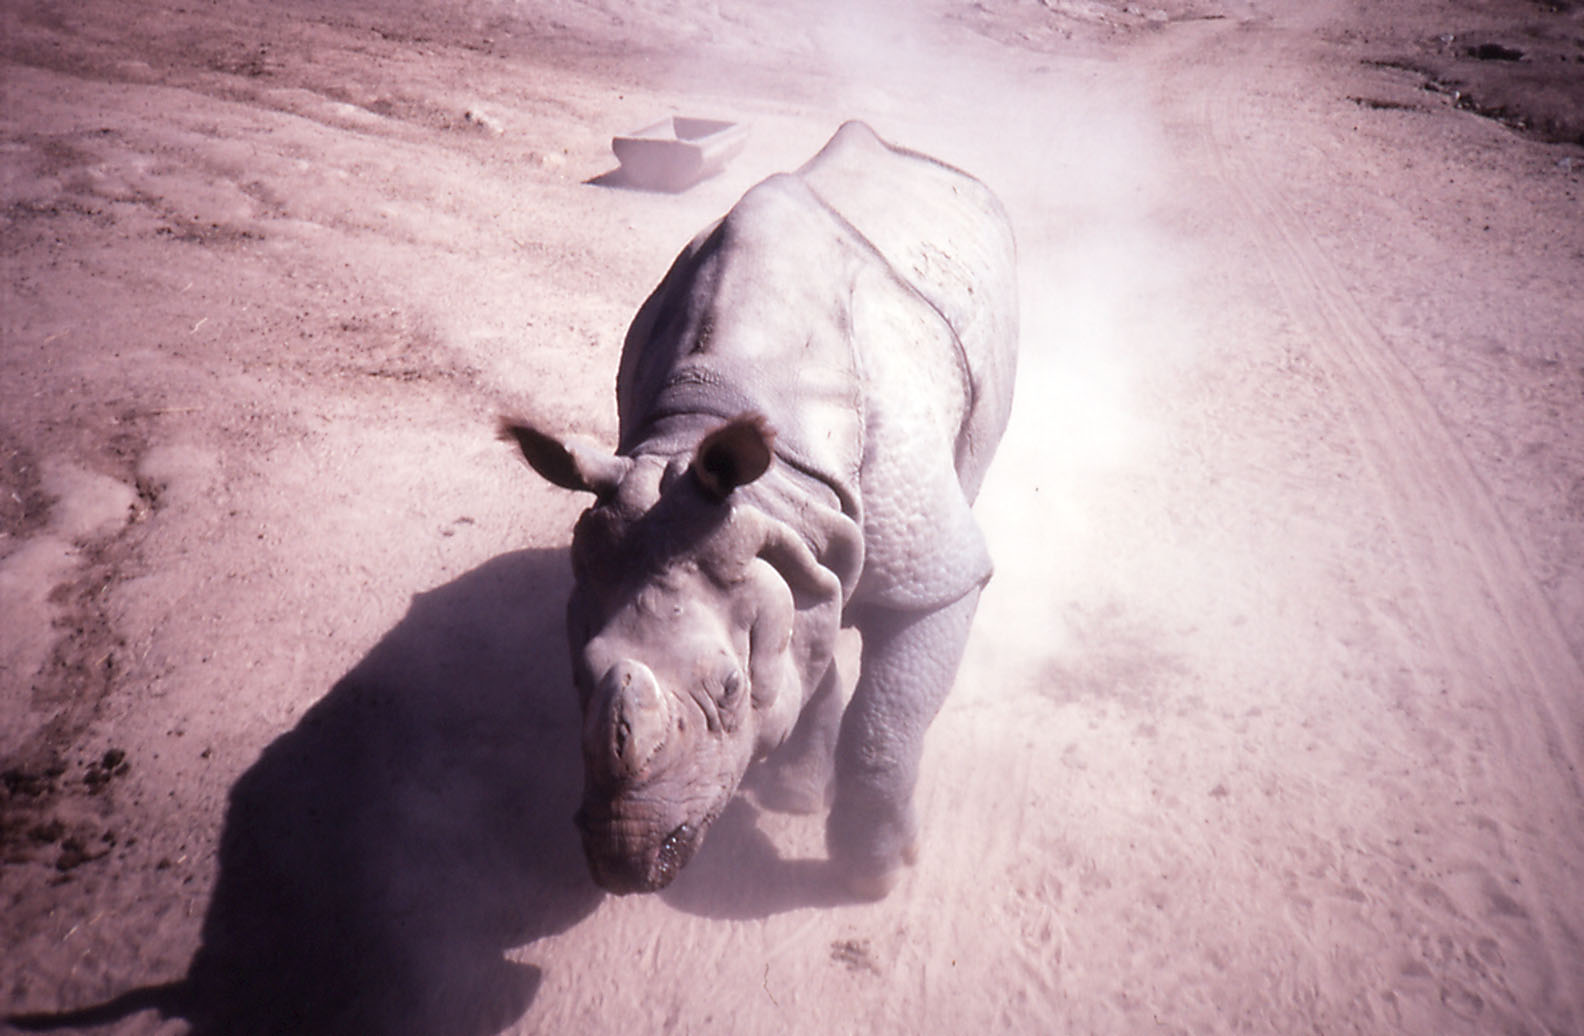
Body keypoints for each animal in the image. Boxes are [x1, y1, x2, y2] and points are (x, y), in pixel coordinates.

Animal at [502, 121, 1017, 899]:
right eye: (579, 675)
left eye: (729, 688)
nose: (625, 864)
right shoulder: (793, 536)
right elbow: (813, 637)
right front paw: (798, 796)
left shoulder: (929, 569)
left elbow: (884, 722)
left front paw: (874, 877)